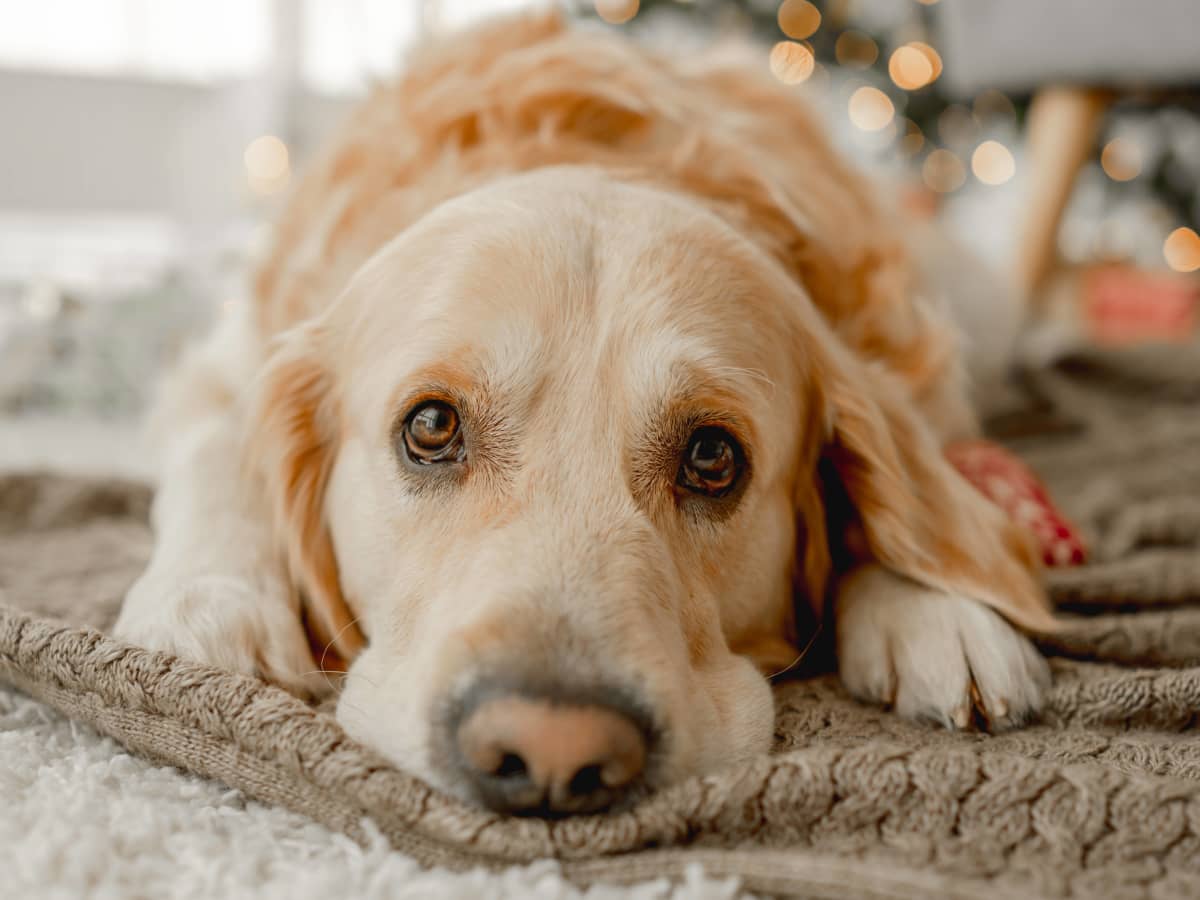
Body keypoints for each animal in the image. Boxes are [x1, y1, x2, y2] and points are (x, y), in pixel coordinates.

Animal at [112, 14, 1051, 816]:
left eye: (713, 458)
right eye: (431, 428)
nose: (552, 751)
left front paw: (936, 612)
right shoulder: (221, 367)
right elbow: (217, 457)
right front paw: (209, 606)